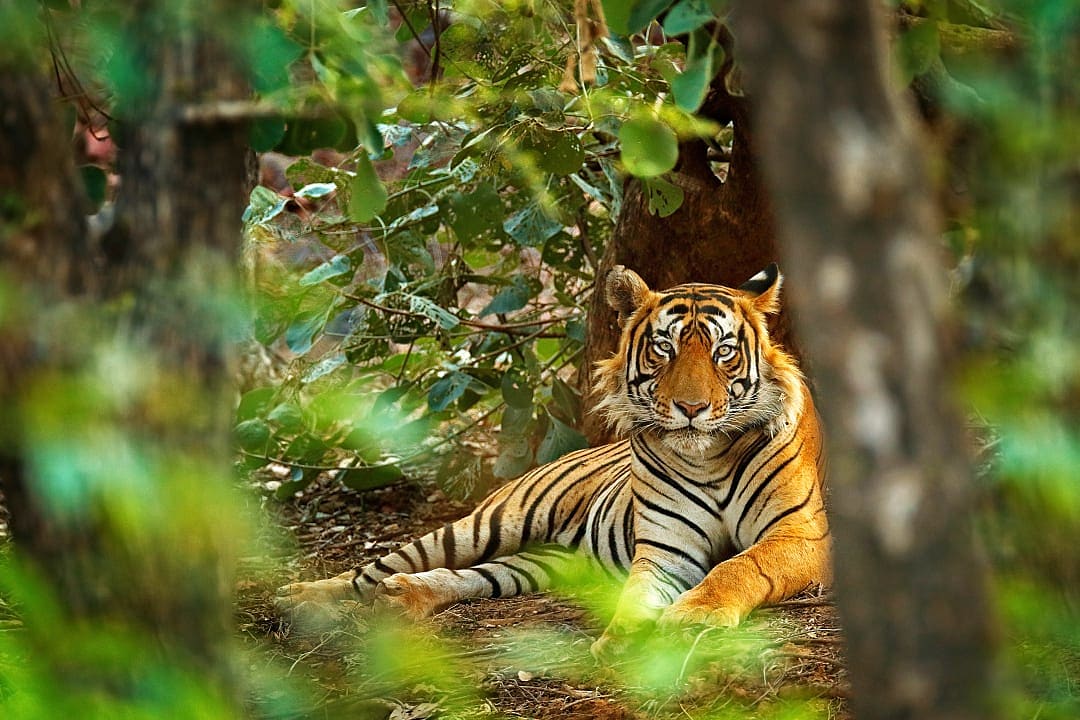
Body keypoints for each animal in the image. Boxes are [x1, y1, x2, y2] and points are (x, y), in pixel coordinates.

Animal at [276, 264, 830, 657]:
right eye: (664, 349)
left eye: (723, 352)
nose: (690, 408)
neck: (708, 458)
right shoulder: (666, 549)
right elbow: (637, 594)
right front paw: (623, 639)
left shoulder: (801, 534)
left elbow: (741, 565)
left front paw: (693, 616)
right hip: (488, 524)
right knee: (375, 568)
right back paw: (301, 596)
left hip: (544, 562)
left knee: (473, 576)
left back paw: (402, 596)